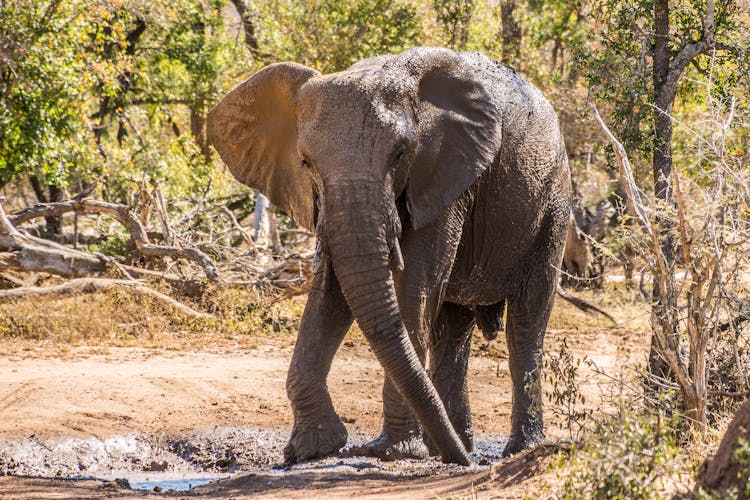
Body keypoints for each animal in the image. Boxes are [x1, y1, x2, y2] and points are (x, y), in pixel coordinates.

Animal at [209, 46, 572, 464]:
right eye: (305, 162)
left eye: (400, 154)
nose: (465, 463)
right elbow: (333, 290)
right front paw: (311, 449)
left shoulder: (444, 174)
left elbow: (413, 286)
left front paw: (394, 451)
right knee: (452, 329)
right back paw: (453, 447)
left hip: (552, 203)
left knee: (526, 323)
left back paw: (515, 449)